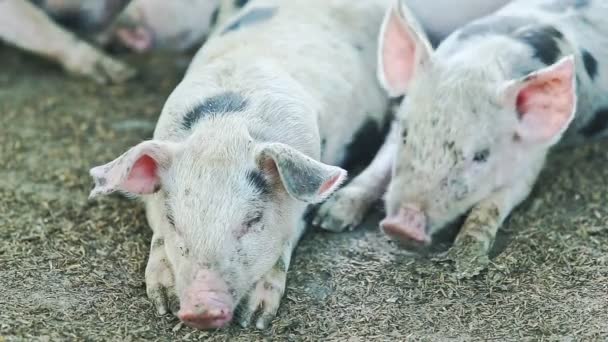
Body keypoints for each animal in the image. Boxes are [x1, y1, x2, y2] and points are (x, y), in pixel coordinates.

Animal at [89, 0, 390, 330]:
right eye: (174, 221)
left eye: (253, 220)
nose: (201, 308)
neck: (226, 126)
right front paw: (163, 304)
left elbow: (284, 243)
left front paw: (255, 319)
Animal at [316, 0, 608, 278]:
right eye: (407, 135)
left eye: (481, 156)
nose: (402, 226)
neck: (482, 62)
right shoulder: (396, 125)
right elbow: (377, 169)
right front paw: (328, 219)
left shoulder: (532, 159)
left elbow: (491, 206)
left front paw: (466, 263)